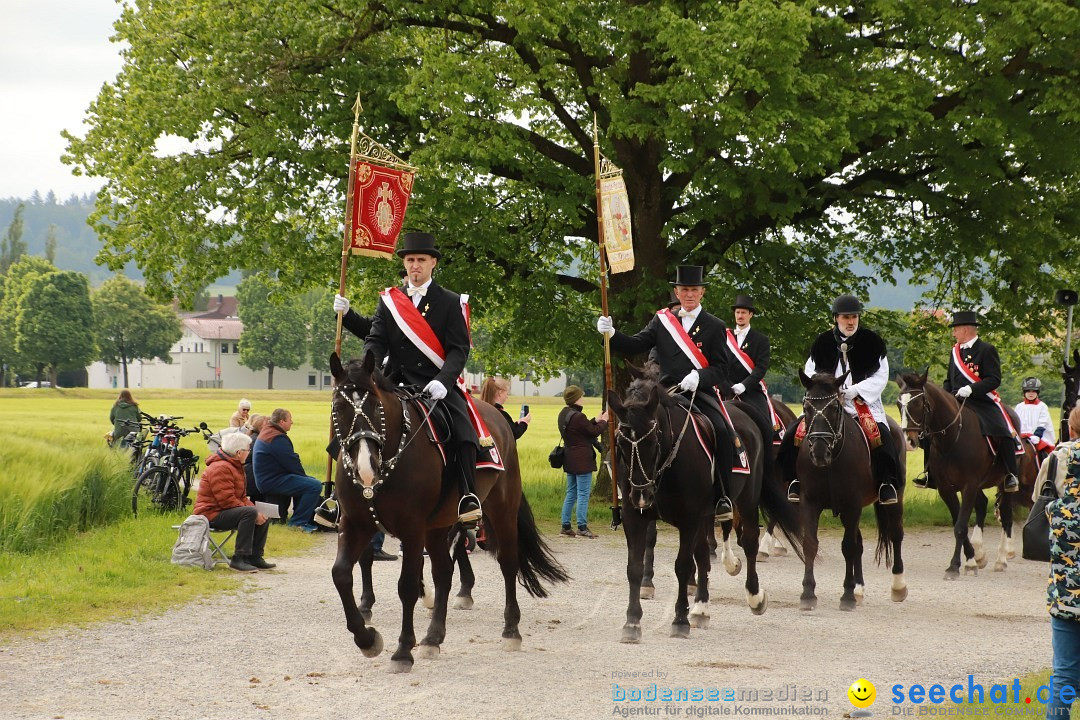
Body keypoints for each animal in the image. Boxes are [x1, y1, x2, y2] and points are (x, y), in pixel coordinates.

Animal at [799, 371, 907, 613]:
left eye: (834, 407)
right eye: (806, 407)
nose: (819, 451)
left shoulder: (852, 505)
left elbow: (848, 547)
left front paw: (846, 595)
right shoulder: (810, 502)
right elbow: (810, 544)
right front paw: (808, 593)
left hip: (894, 499)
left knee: (895, 534)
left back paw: (898, 586)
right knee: (859, 543)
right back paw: (859, 588)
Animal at [894, 371, 1036, 578]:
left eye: (919, 403)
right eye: (899, 404)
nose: (908, 441)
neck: (952, 437)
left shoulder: (969, 485)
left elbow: (960, 527)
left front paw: (957, 565)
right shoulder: (946, 488)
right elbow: (957, 522)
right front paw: (972, 559)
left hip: (1004, 483)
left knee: (1006, 516)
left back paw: (1001, 560)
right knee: (983, 504)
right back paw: (980, 553)